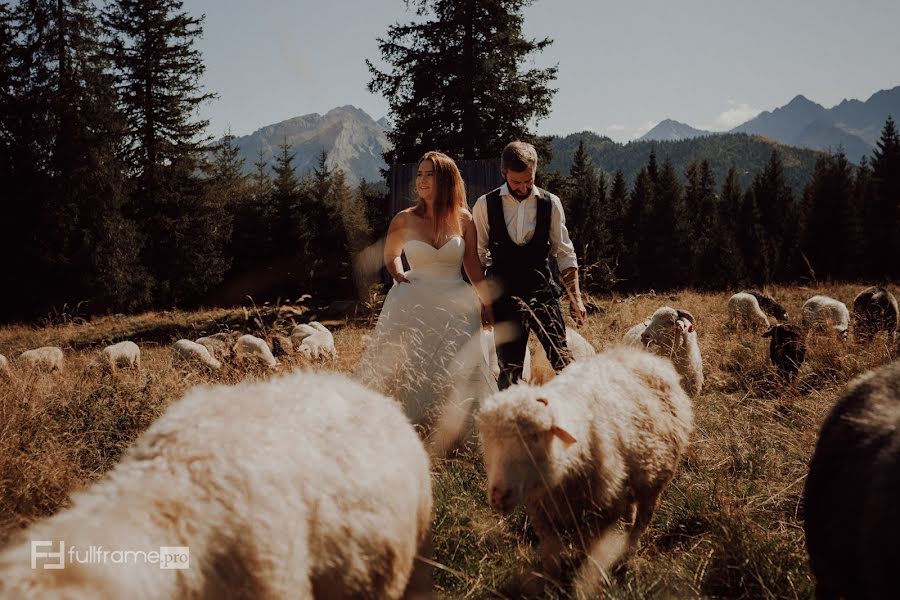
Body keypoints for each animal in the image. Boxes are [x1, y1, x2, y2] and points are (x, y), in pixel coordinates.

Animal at [474, 344, 692, 596]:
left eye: (535, 436)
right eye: (488, 439)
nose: (499, 495)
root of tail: (642, 355)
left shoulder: (600, 513)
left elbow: (591, 556)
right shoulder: (543, 513)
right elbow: (551, 556)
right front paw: (552, 584)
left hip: (654, 478)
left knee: (642, 520)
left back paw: (627, 555)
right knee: (631, 511)